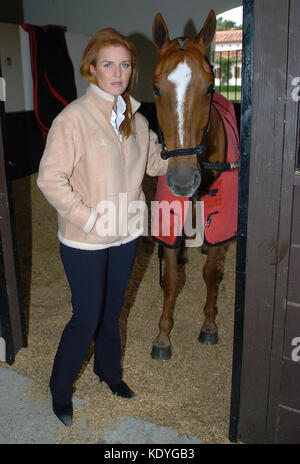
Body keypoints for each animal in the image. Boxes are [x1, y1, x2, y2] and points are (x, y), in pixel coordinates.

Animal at [150, 10, 239, 358]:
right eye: (156, 88)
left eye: (210, 86)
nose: (183, 179)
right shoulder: (170, 211)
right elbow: (172, 278)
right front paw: (163, 336)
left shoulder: (221, 213)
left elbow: (211, 273)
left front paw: (209, 325)